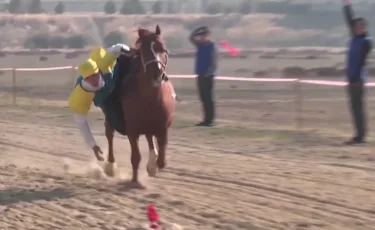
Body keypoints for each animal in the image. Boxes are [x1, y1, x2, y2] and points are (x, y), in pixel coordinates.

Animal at [105, 25, 176, 183]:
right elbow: (136, 157)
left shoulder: (163, 127)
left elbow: (162, 160)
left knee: (149, 138)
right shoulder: (132, 129)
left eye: (163, 49)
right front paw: (135, 181)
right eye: (143, 50)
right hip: (111, 117)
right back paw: (110, 166)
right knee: (109, 135)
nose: (157, 73)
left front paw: (153, 166)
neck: (151, 99)